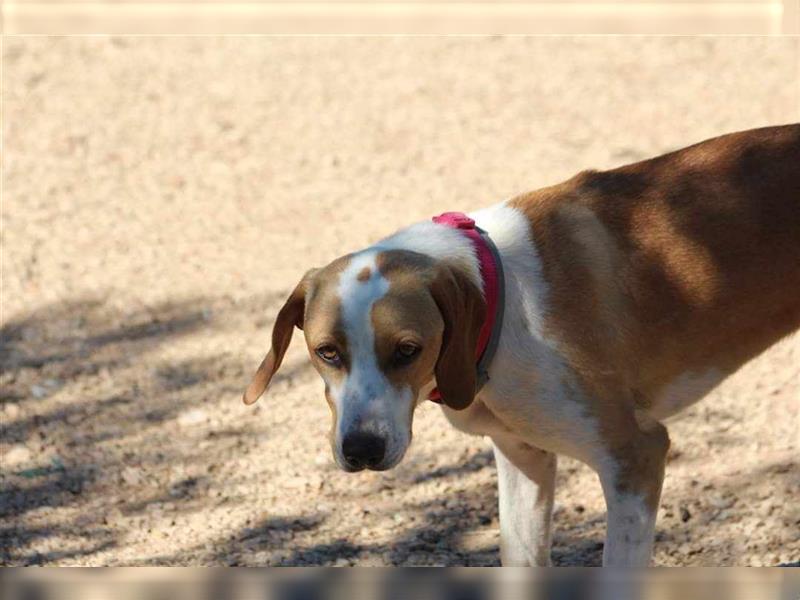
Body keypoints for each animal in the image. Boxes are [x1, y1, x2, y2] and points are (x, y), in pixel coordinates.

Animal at [244, 123, 800, 568]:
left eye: (407, 350)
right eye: (327, 352)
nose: (361, 449)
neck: (501, 299)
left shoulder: (635, 457)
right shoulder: (523, 458)